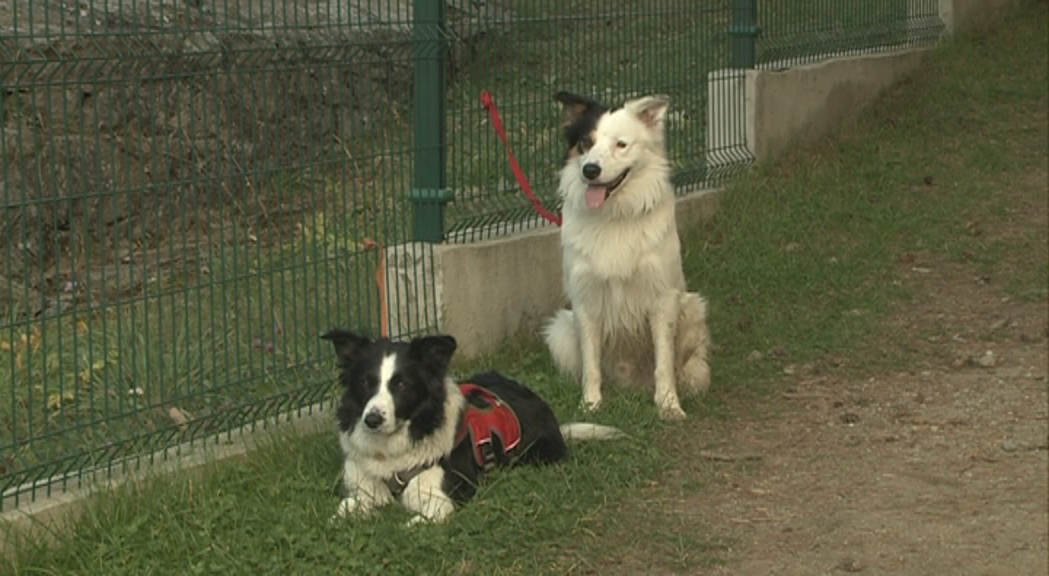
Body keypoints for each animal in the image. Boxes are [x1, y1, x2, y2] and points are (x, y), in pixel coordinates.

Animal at [320, 327, 621, 520]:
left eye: (402, 385)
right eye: (365, 382)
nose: (372, 420)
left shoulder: (451, 494)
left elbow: (426, 517)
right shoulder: (362, 489)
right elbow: (342, 510)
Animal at [541, 92, 713, 419]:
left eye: (621, 144)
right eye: (586, 142)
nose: (590, 170)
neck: (614, 217)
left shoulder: (663, 297)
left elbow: (664, 362)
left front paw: (669, 404)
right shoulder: (585, 300)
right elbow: (591, 365)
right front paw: (590, 405)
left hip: (693, 308)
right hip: (560, 330)